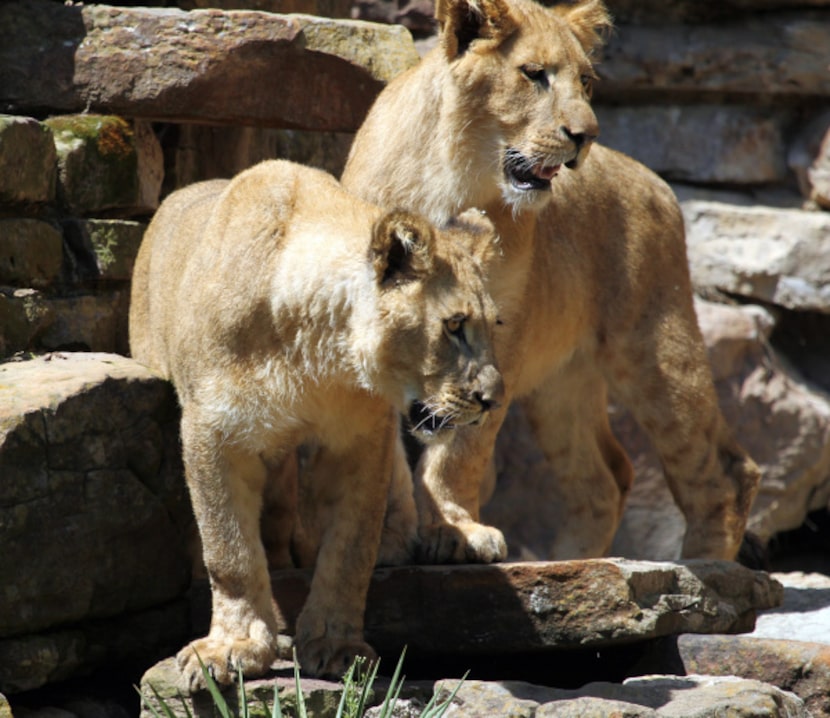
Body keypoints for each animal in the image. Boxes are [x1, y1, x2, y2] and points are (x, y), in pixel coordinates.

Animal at [130, 160, 508, 688]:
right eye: (453, 326)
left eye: (495, 326)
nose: (493, 399)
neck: (315, 355)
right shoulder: (213, 432)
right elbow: (229, 550)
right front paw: (234, 647)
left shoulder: (362, 440)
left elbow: (350, 552)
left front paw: (335, 645)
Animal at [342, 0, 764, 564]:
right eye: (534, 74)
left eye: (585, 81)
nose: (586, 136)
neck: (453, 177)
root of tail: (654, 179)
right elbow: (384, 452)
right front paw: (388, 541)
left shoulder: (500, 329)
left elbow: (463, 447)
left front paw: (457, 533)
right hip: (562, 384)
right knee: (604, 478)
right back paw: (569, 561)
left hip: (653, 344)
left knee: (724, 468)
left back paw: (705, 566)